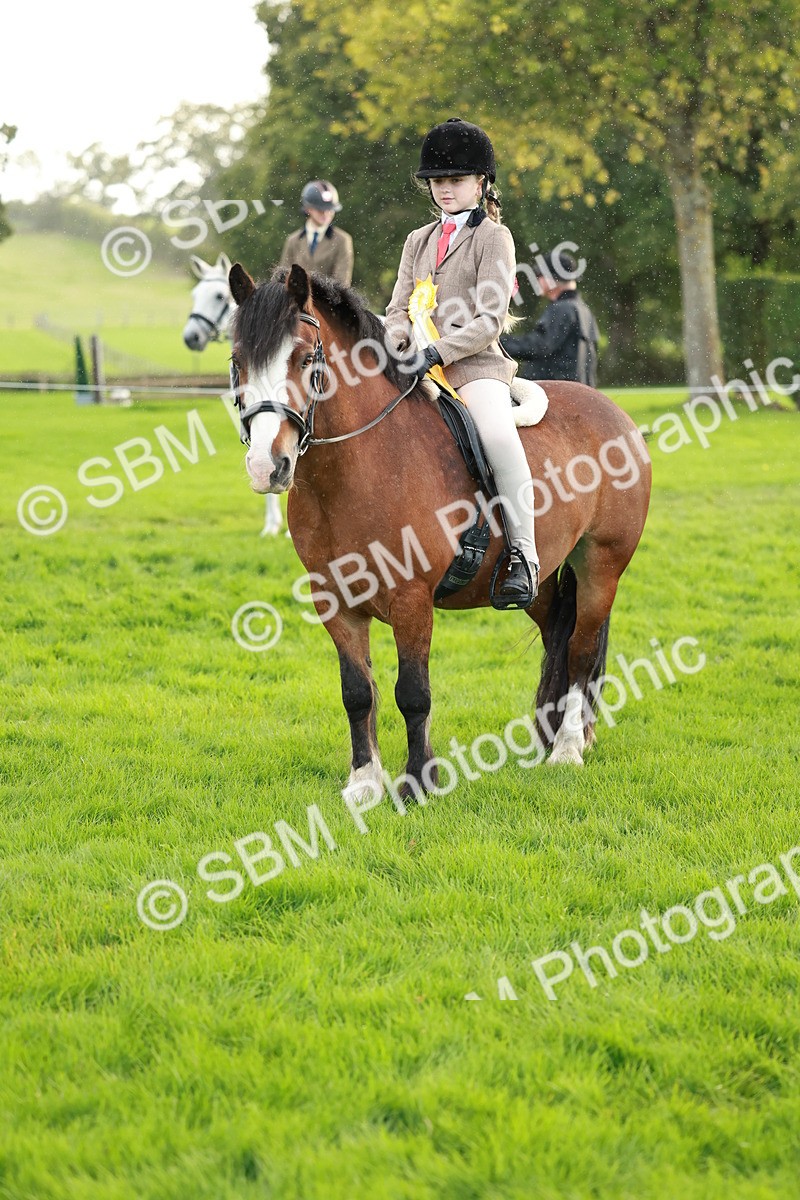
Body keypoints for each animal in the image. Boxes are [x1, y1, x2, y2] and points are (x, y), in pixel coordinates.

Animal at [228, 262, 651, 799]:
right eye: (238, 361)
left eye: (305, 359)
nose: (268, 467)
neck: (357, 467)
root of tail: (611, 411)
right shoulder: (335, 600)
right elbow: (356, 692)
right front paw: (364, 783)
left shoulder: (412, 600)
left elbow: (413, 693)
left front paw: (417, 784)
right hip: (538, 580)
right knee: (556, 632)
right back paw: (555, 735)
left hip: (602, 565)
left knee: (579, 650)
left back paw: (569, 748)